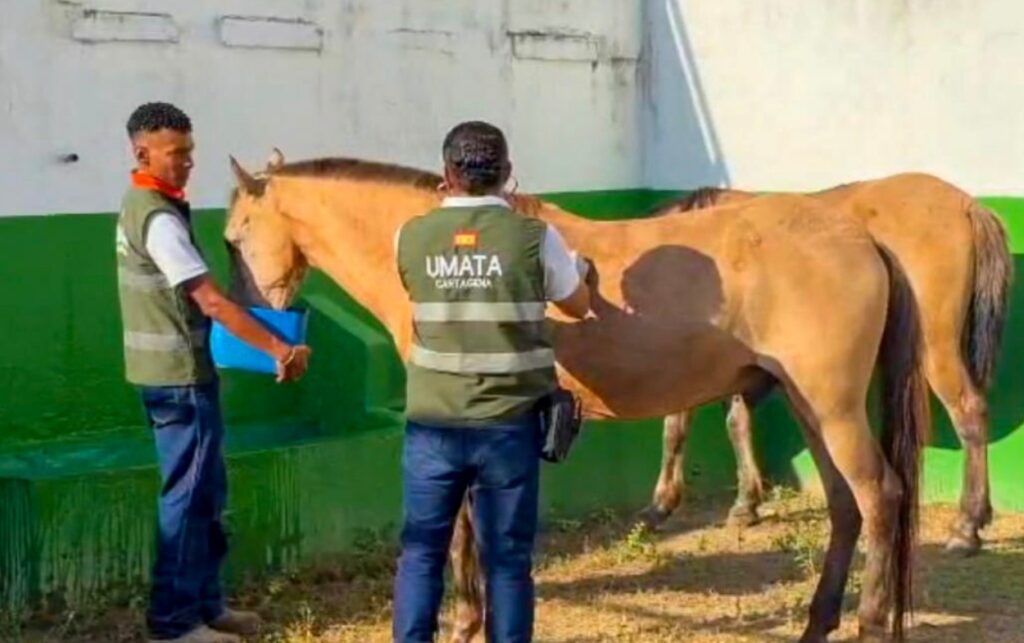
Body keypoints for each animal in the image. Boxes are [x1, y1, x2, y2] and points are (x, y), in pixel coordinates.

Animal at [224, 150, 929, 642]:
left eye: (232, 236)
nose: (254, 324)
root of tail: (860, 237)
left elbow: (460, 529)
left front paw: (465, 620)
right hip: (813, 410)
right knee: (846, 507)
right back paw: (817, 621)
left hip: (832, 410)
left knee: (880, 496)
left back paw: (870, 622)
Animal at [643, 174, 1010, 556]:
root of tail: (967, 205)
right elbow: (736, 423)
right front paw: (746, 503)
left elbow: (678, 429)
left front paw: (662, 503)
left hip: (935, 347)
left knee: (969, 414)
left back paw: (966, 526)